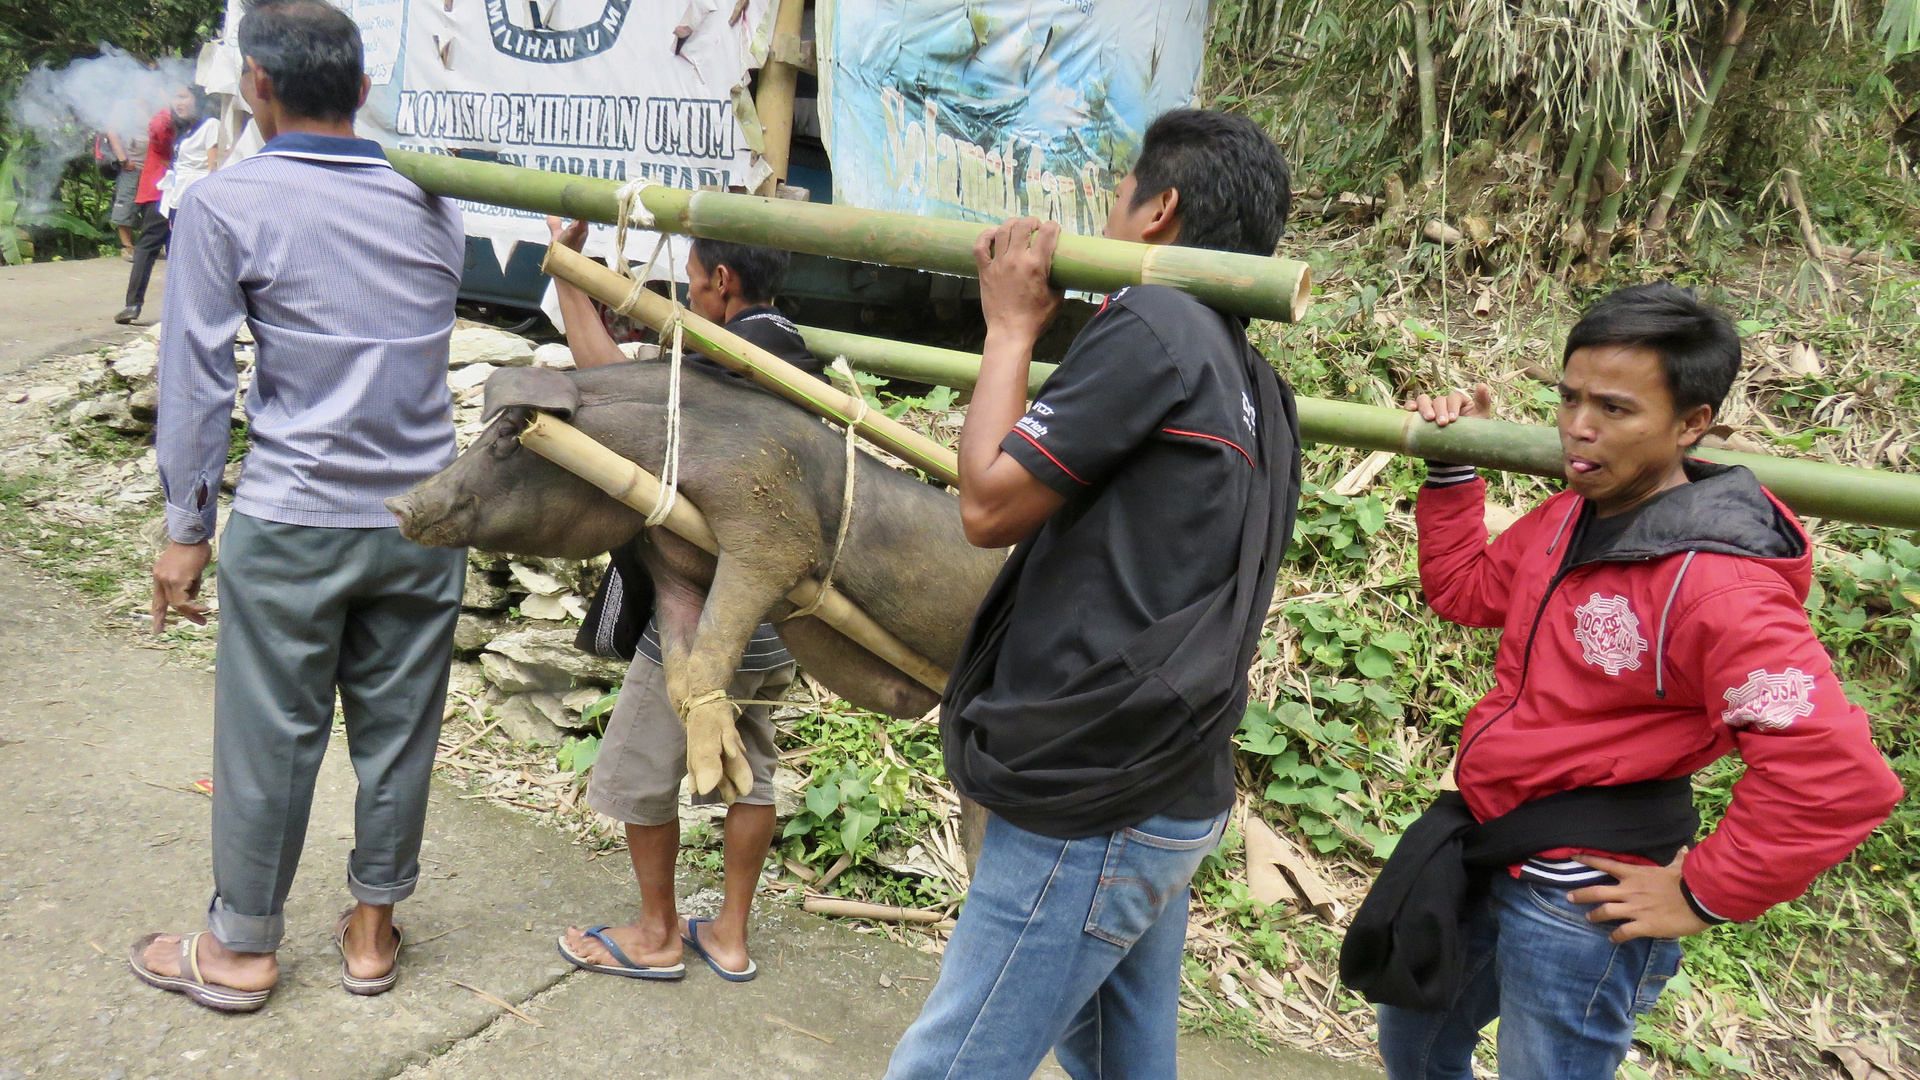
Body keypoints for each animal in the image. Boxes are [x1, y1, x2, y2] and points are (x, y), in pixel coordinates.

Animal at [380, 357, 998, 795]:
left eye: (509, 436)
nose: (398, 504)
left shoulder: (770, 524)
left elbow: (713, 645)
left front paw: (720, 779)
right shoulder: (670, 564)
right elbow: (682, 661)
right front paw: (721, 778)